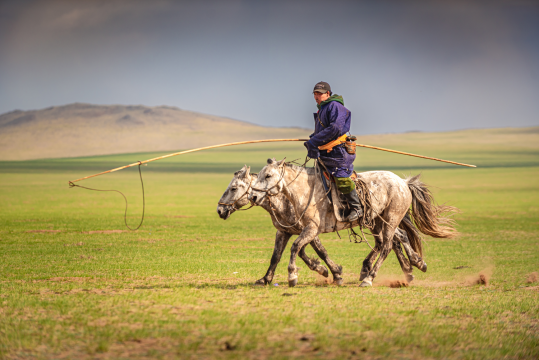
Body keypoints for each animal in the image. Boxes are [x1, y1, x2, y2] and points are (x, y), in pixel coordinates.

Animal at [251, 159, 458, 288]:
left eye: (268, 175)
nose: (253, 196)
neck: (305, 190)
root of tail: (403, 182)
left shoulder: (311, 229)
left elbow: (296, 247)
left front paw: (293, 276)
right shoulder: (296, 230)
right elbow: (280, 254)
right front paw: (265, 279)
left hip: (390, 219)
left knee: (387, 245)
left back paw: (370, 278)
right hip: (378, 221)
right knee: (394, 240)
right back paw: (414, 264)